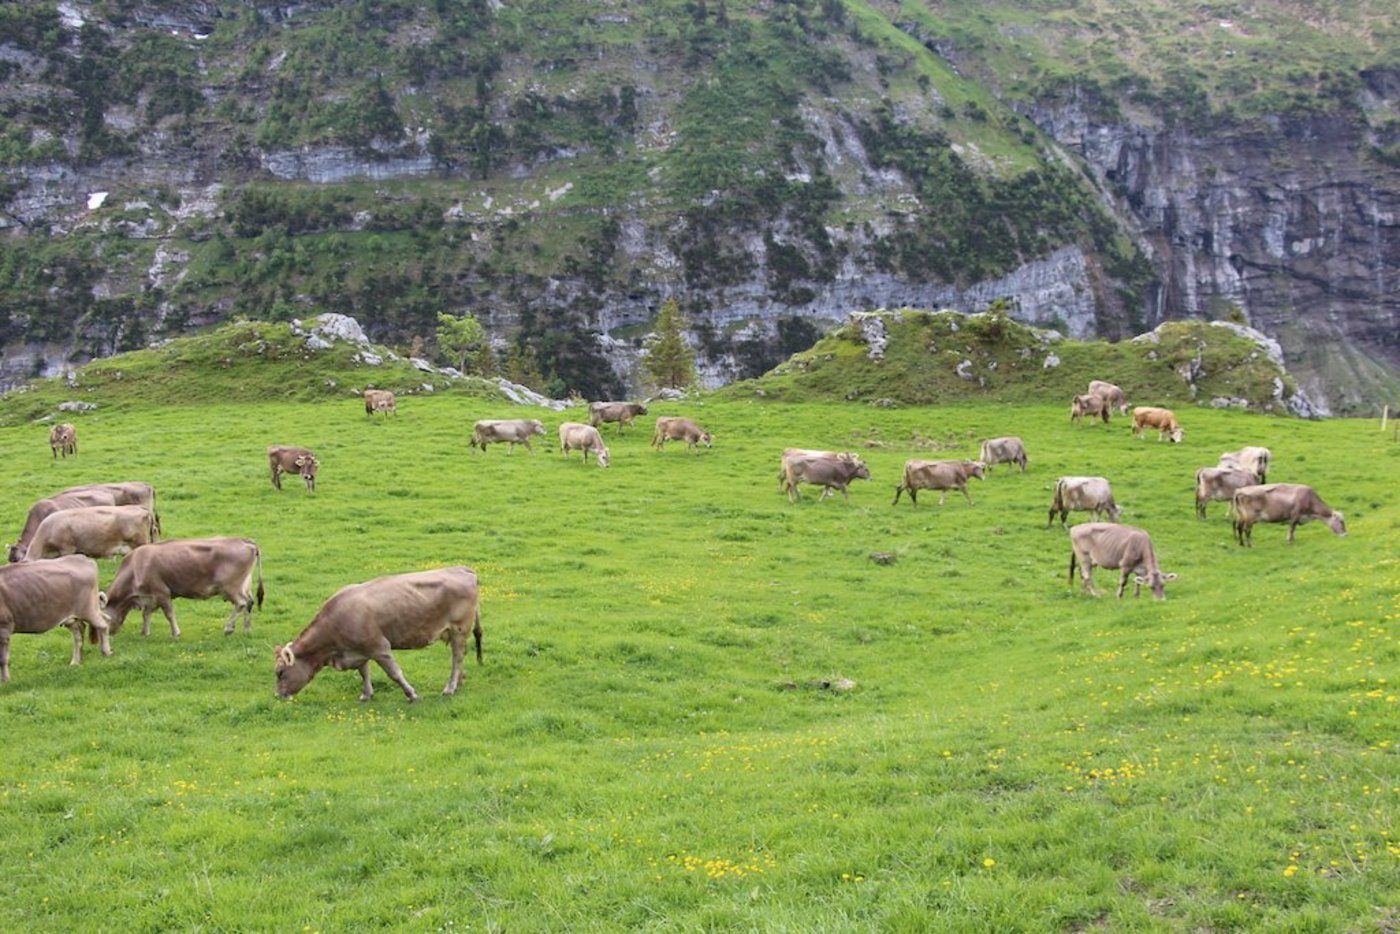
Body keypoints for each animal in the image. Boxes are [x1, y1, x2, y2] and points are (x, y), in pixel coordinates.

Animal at [0, 555, 110, 683]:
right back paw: (75, 662)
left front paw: (6, 681)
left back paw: (106, 652)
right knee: (79, 634)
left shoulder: (4, 628)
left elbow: (3, 659)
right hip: (73, 617)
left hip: (88, 608)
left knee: (103, 624)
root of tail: (82, 558)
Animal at [102, 538, 265, 638]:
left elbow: (169, 614)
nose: (104, 635)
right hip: (244, 585)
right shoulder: (150, 597)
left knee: (242, 603)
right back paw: (247, 630)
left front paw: (175, 633)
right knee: (249, 603)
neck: (136, 566)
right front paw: (145, 632)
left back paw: (229, 628)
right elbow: (146, 614)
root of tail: (245, 540)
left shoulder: (162, 592)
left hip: (231, 587)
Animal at [274, 566, 481, 702]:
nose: (277, 696)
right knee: (460, 657)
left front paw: (411, 694)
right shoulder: (358, 650)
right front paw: (367, 694)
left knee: (457, 658)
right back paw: (459, 683)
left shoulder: (379, 648)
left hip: (459, 629)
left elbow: (395, 673)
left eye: (280, 672)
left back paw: (450, 688)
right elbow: (363, 672)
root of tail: (462, 569)